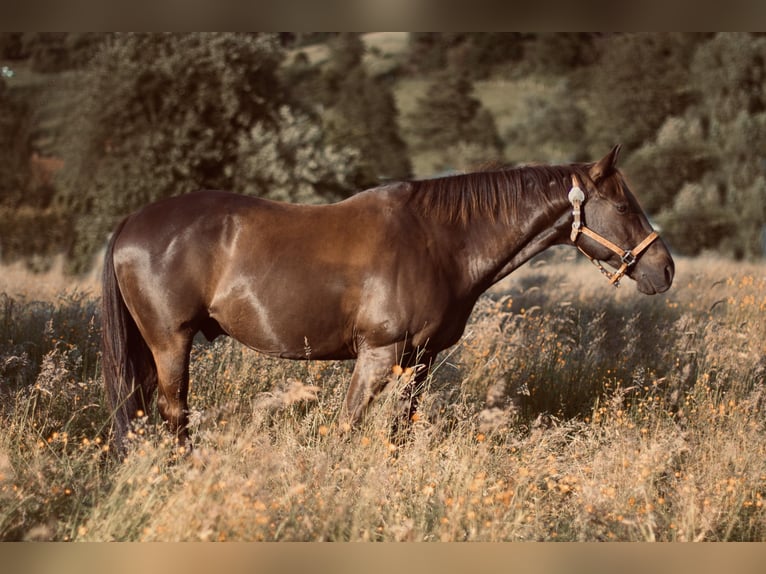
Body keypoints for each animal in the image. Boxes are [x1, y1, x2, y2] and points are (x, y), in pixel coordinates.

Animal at [101, 145, 674, 453]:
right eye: (624, 205)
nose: (663, 269)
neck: (439, 240)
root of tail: (131, 222)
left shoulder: (419, 361)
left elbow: (398, 429)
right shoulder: (378, 355)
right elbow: (349, 425)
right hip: (170, 344)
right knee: (174, 414)